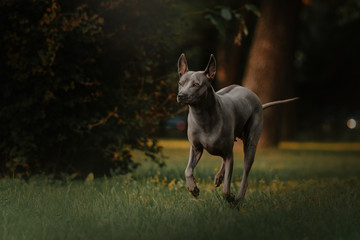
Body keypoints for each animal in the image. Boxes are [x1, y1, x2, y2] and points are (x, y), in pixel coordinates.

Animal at [177, 53, 298, 205]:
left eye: (196, 84)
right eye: (180, 83)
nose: (181, 95)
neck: (203, 117)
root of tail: (251, 93)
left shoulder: (229, 155)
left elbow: (226, 188)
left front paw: (230, 198)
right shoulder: (196, 148)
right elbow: (188, 170)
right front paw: (193, 188)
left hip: (250, 144)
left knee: (245, 174)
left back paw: (239, 197)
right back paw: (219, 177)